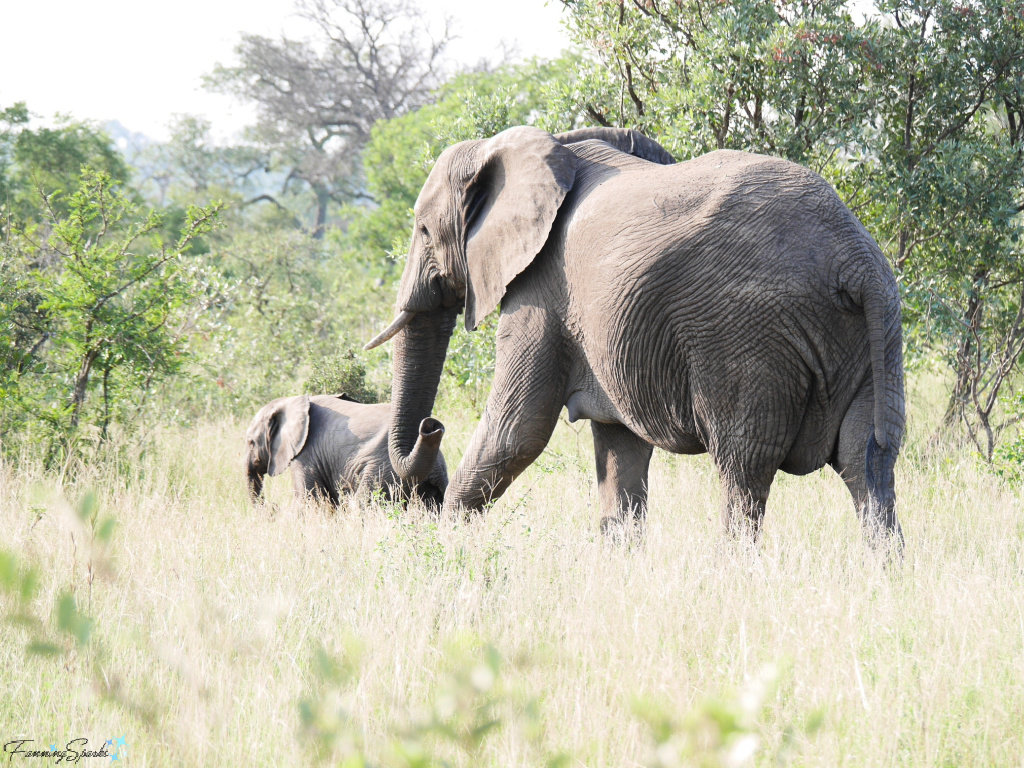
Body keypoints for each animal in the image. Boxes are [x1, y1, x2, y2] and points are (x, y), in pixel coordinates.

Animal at [243, 397, 448, 512]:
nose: (273, 506)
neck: (289, 401)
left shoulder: (305, 455)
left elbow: (308, 501)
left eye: (250, 442)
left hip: (382, 472)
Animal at [366, 126, 905, 544]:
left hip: (749, 338)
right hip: (878, 330)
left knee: (745, 469)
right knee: (868, 461)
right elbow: (619, 450)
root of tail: (854, 257)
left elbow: (515, 431)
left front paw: (445, 550)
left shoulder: (542, 289)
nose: (432, 425)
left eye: (423, 231)